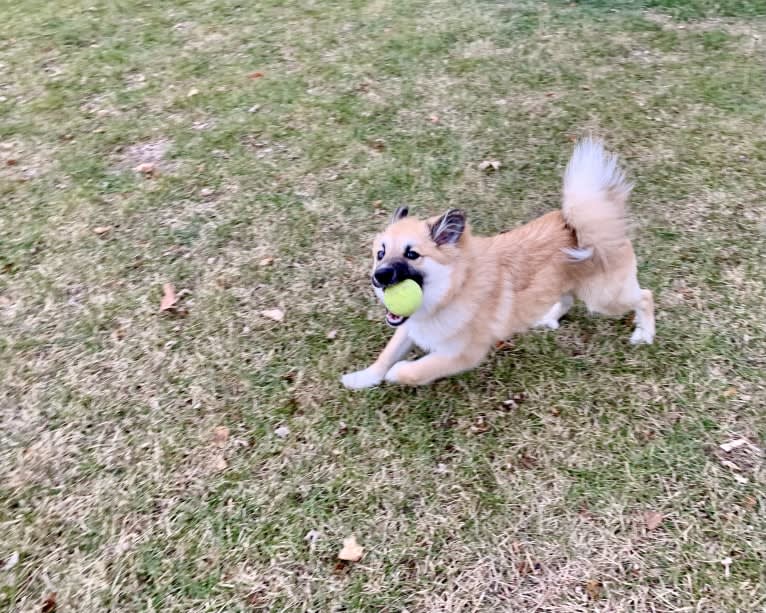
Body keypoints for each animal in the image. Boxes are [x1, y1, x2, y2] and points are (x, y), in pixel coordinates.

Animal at [344, 139, 656, 388]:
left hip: (604, 297)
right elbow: (386, 354)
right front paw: (362, 378)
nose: (379, 277)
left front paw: (397, 373)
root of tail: (597, 223)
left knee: (645, 296)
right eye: (380, 254)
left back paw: (645, 334)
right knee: (566, 299)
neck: (451, 290)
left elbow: (417, 369)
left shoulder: (462, 353)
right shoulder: (408, 326)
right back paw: (549, 317)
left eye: (412, 255)